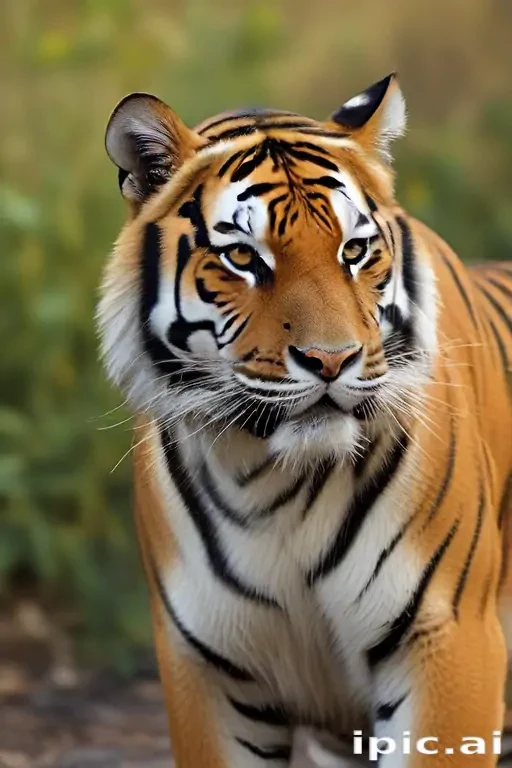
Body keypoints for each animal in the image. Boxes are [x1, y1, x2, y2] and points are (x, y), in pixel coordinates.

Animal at [97, 74, 512, 767]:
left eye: (355, 250)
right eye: (243, 257)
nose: (331, 360)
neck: (272, 486)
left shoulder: (447, 637)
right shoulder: (207, 667)